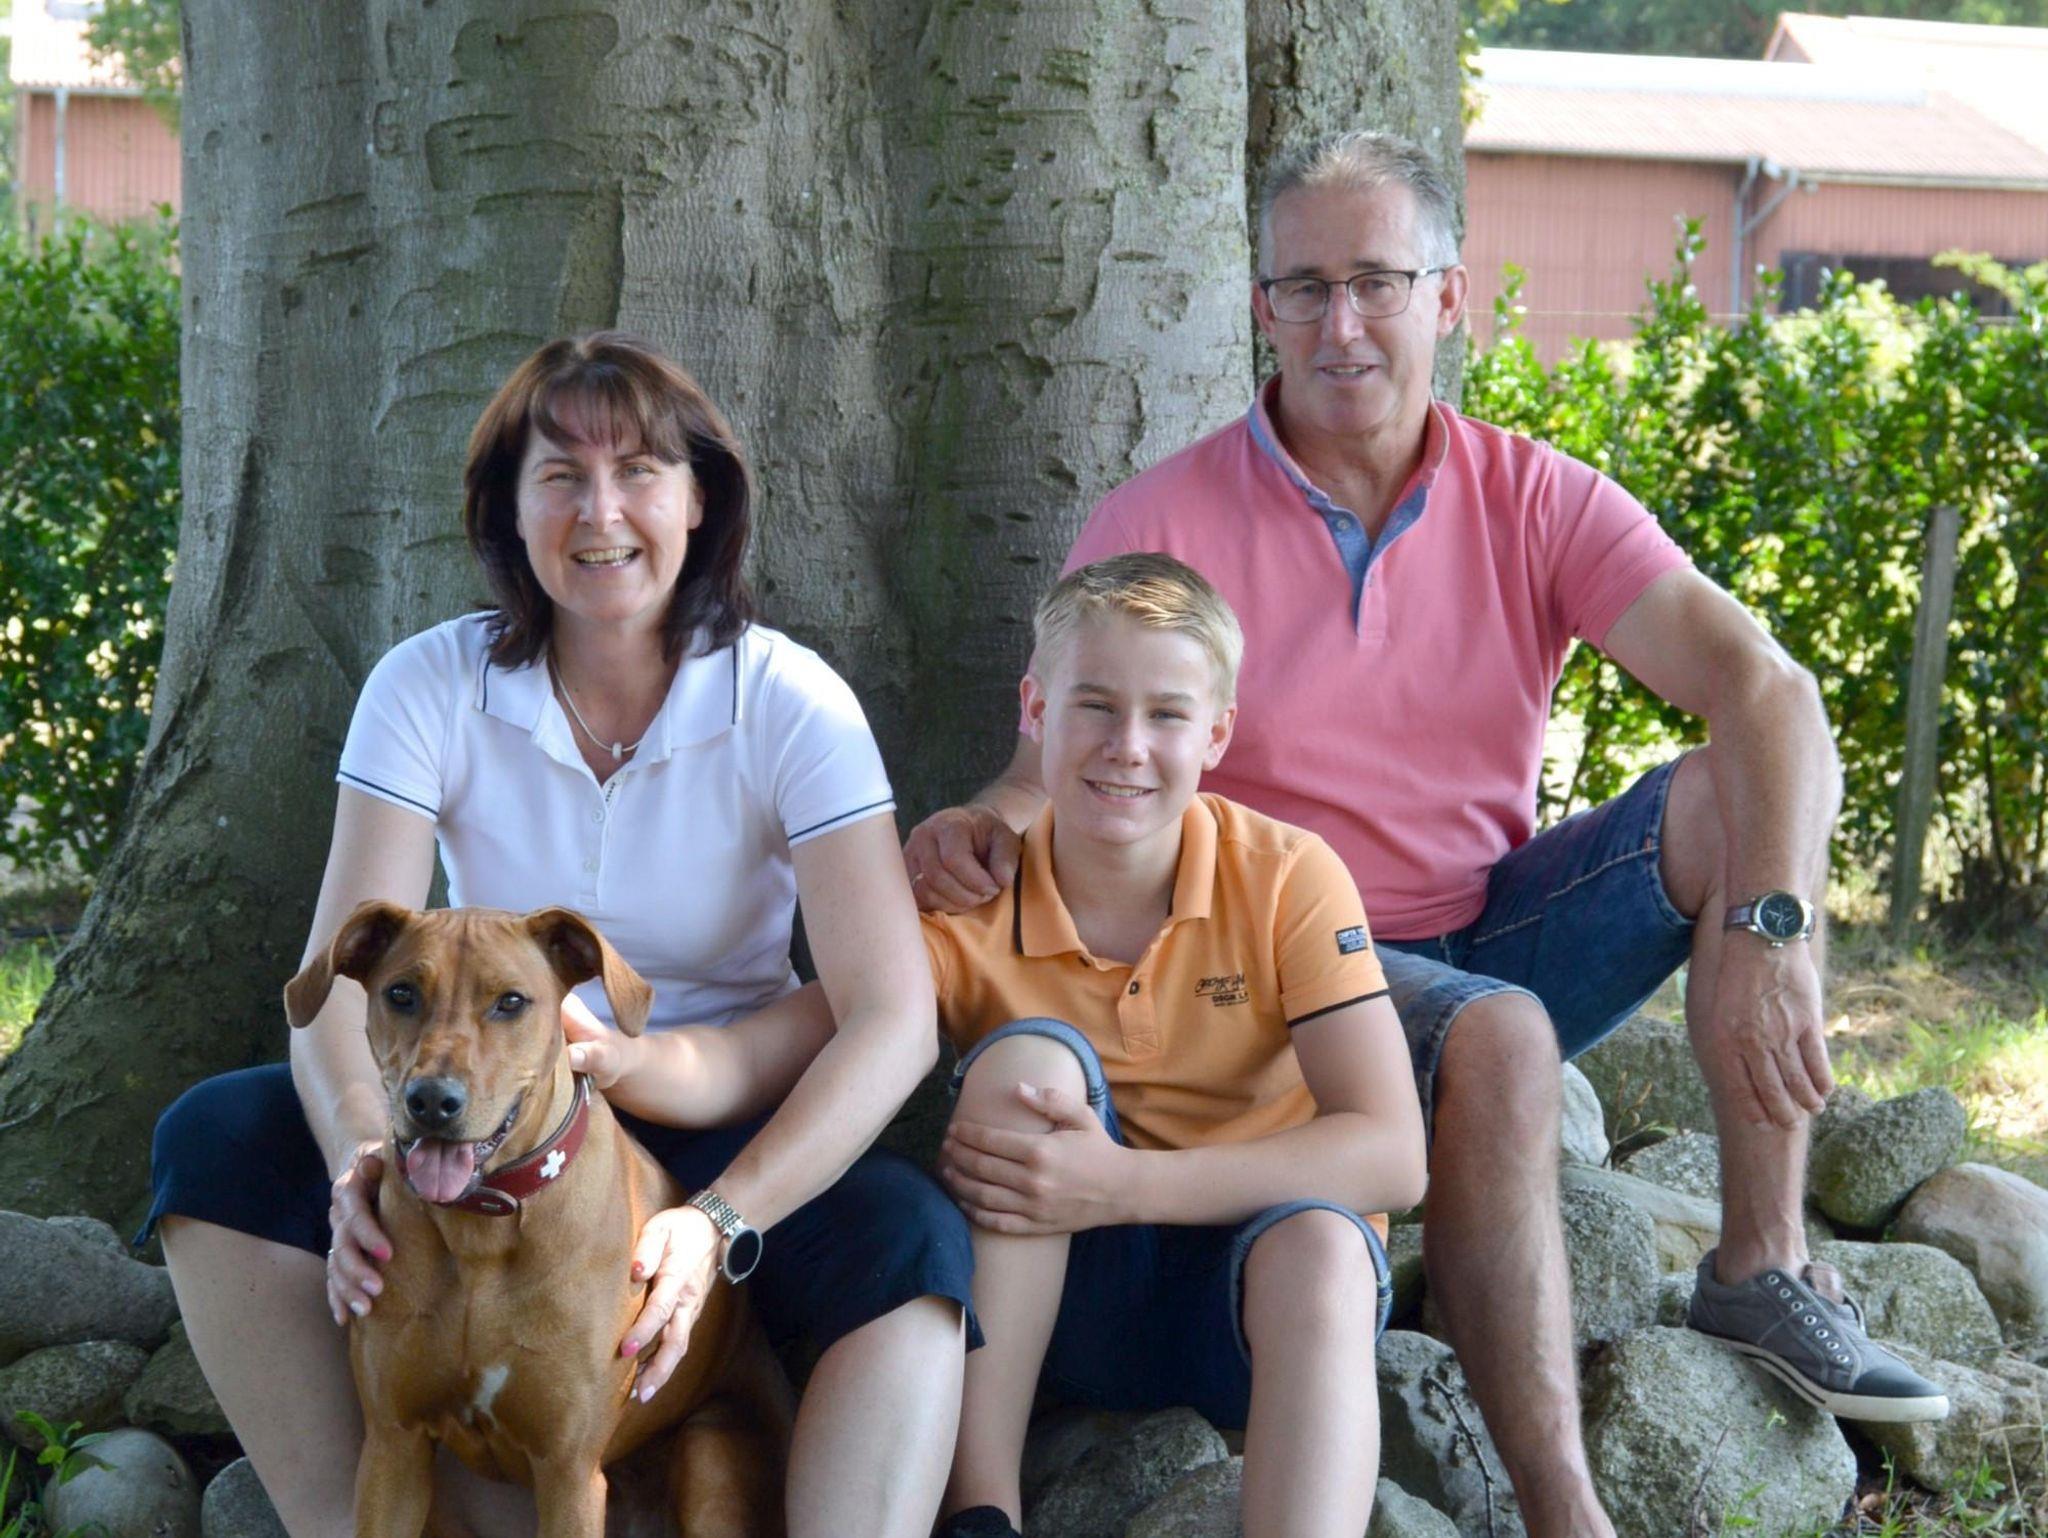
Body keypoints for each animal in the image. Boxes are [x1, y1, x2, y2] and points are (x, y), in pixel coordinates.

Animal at [284, 901, 789, 1538]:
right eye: (401, 993)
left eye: (510, 1001)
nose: (432, 1100)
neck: (481, 1228)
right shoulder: (391, 1448)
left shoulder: (569, 1472)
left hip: (710, 1454)